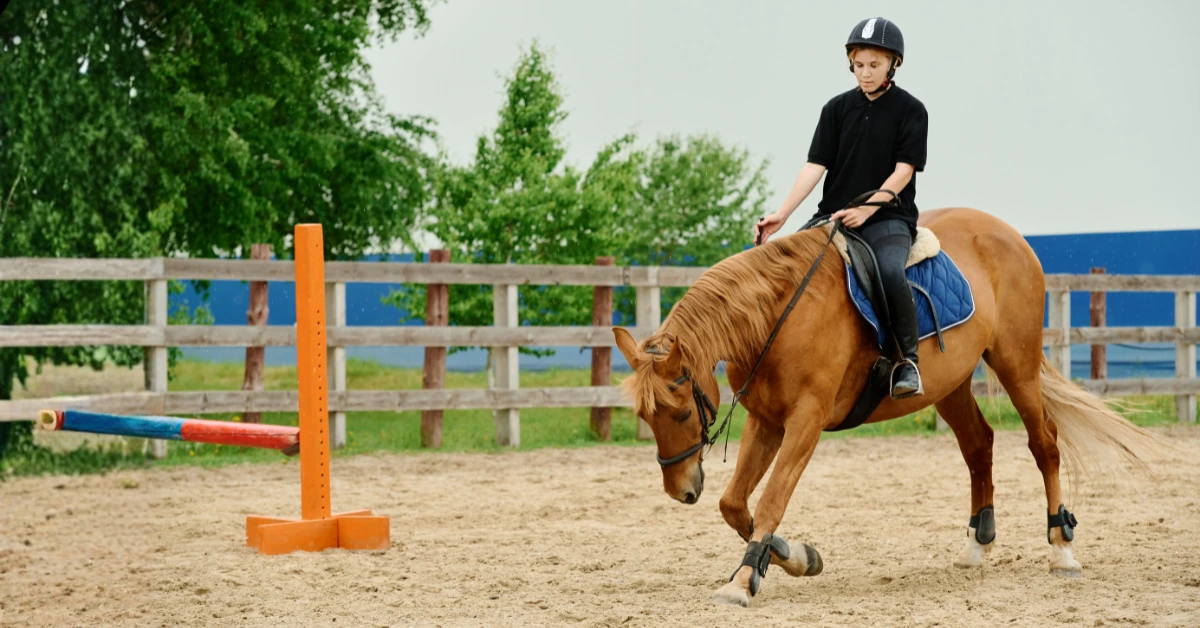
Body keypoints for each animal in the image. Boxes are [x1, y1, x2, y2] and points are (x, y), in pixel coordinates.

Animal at [612, 207, 1163, 607]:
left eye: (682, 414)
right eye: (645, 418)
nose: (681, 491)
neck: (779, 313)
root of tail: (1009, 234)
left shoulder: (805, 423)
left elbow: (769, 501)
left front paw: (745, 579)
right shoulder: (766, 420)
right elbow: (735, 504)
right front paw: (795, 555)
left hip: (1017, 363)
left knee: (1043, 443)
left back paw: (1061, 548)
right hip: (950, 384)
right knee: (978, 445)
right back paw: (977, 544)